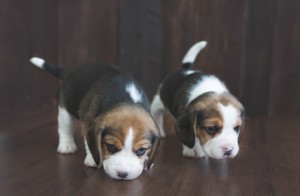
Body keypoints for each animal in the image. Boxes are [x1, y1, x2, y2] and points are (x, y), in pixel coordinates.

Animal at [29, 57, 161, 180]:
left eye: (141, 150)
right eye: (111, 146)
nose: (122, 174)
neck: (127, 100)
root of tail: (71, 72)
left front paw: (147, 161)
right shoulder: (87, 122)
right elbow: (88, 142)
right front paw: (93, 159)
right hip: (64, 109)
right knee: (64, 127)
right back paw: (66, 145)